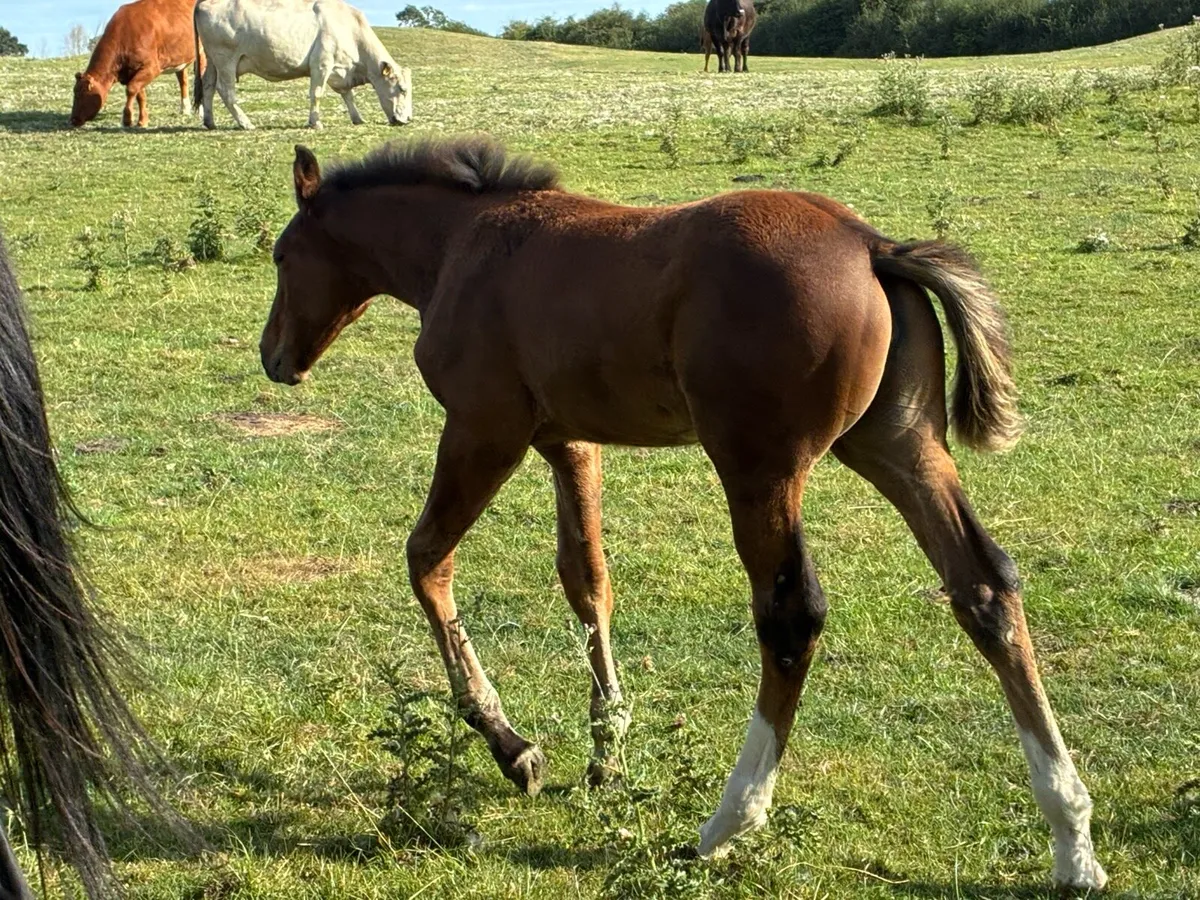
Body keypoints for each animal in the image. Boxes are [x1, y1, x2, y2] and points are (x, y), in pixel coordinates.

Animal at [257, 138, 1107, 891]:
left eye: (280, 256)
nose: (274, 357)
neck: (463, 246)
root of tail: (872, 246)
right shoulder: (568, 441)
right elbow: (586, 578)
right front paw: (606, 751)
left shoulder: (483, 429)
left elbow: (427, 557)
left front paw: (513, 746)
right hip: (899, 445)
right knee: (985, 587)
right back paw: (1072, 839)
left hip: (760, 468)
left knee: (792, 616)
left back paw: (727, 823)